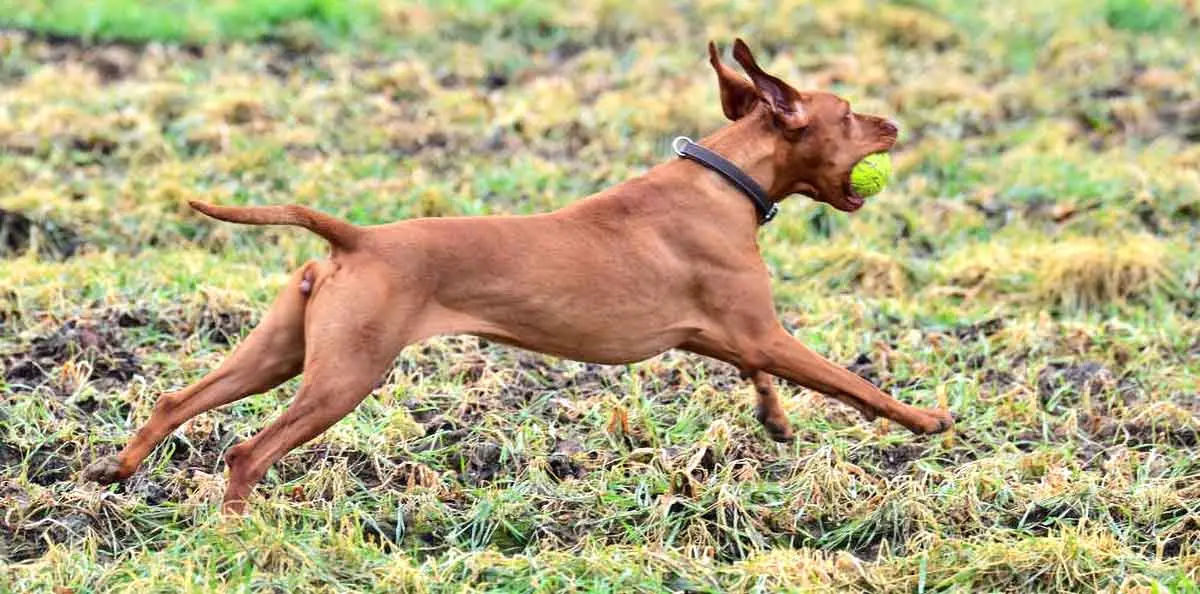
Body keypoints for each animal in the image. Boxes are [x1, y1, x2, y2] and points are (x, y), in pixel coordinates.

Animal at [79, 39, 950, 511]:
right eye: (851, 112)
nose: (896, 123)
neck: (726, 178)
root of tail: (356, 239)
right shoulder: (763, 330)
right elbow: (854, 383)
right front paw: (926, 421)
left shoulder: (726, 334)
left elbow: (759, 374)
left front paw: (773, 419)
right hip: (345, 375)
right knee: (247, 453)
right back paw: (238, 528)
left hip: (281, 353)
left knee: (176, 400)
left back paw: (116, 469)